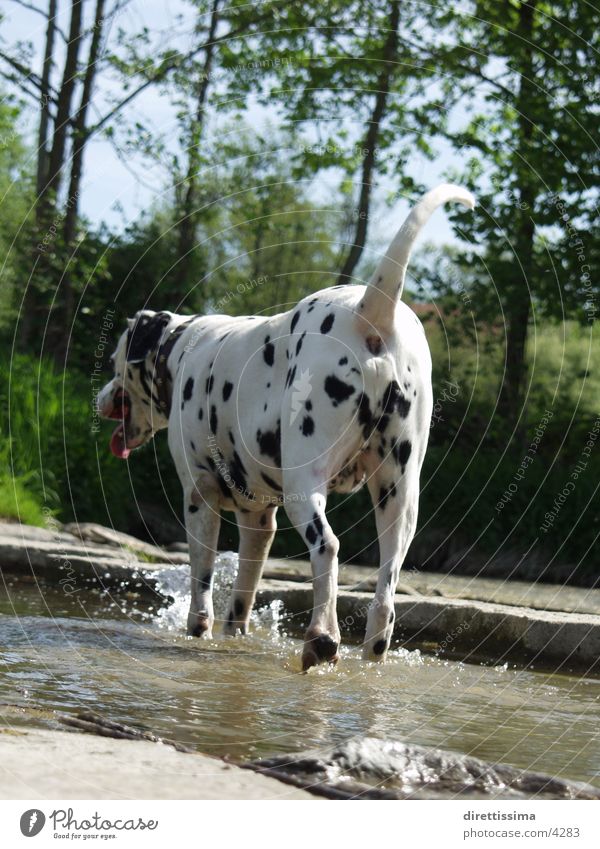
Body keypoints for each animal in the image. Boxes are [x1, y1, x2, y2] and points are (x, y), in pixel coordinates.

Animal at [97, 186, 474, 668]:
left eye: (114, 363)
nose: (102, 397)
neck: (182, 352)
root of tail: (369, 311)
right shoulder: (259, 518)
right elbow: (242, 595)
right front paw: (234, 635)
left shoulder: (200, 499)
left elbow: (202, 586)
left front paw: (198, 631)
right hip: (397, 498)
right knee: (386, 586)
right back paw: (371, 651)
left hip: (305, 487)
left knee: (327, 547)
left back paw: (321, 638)